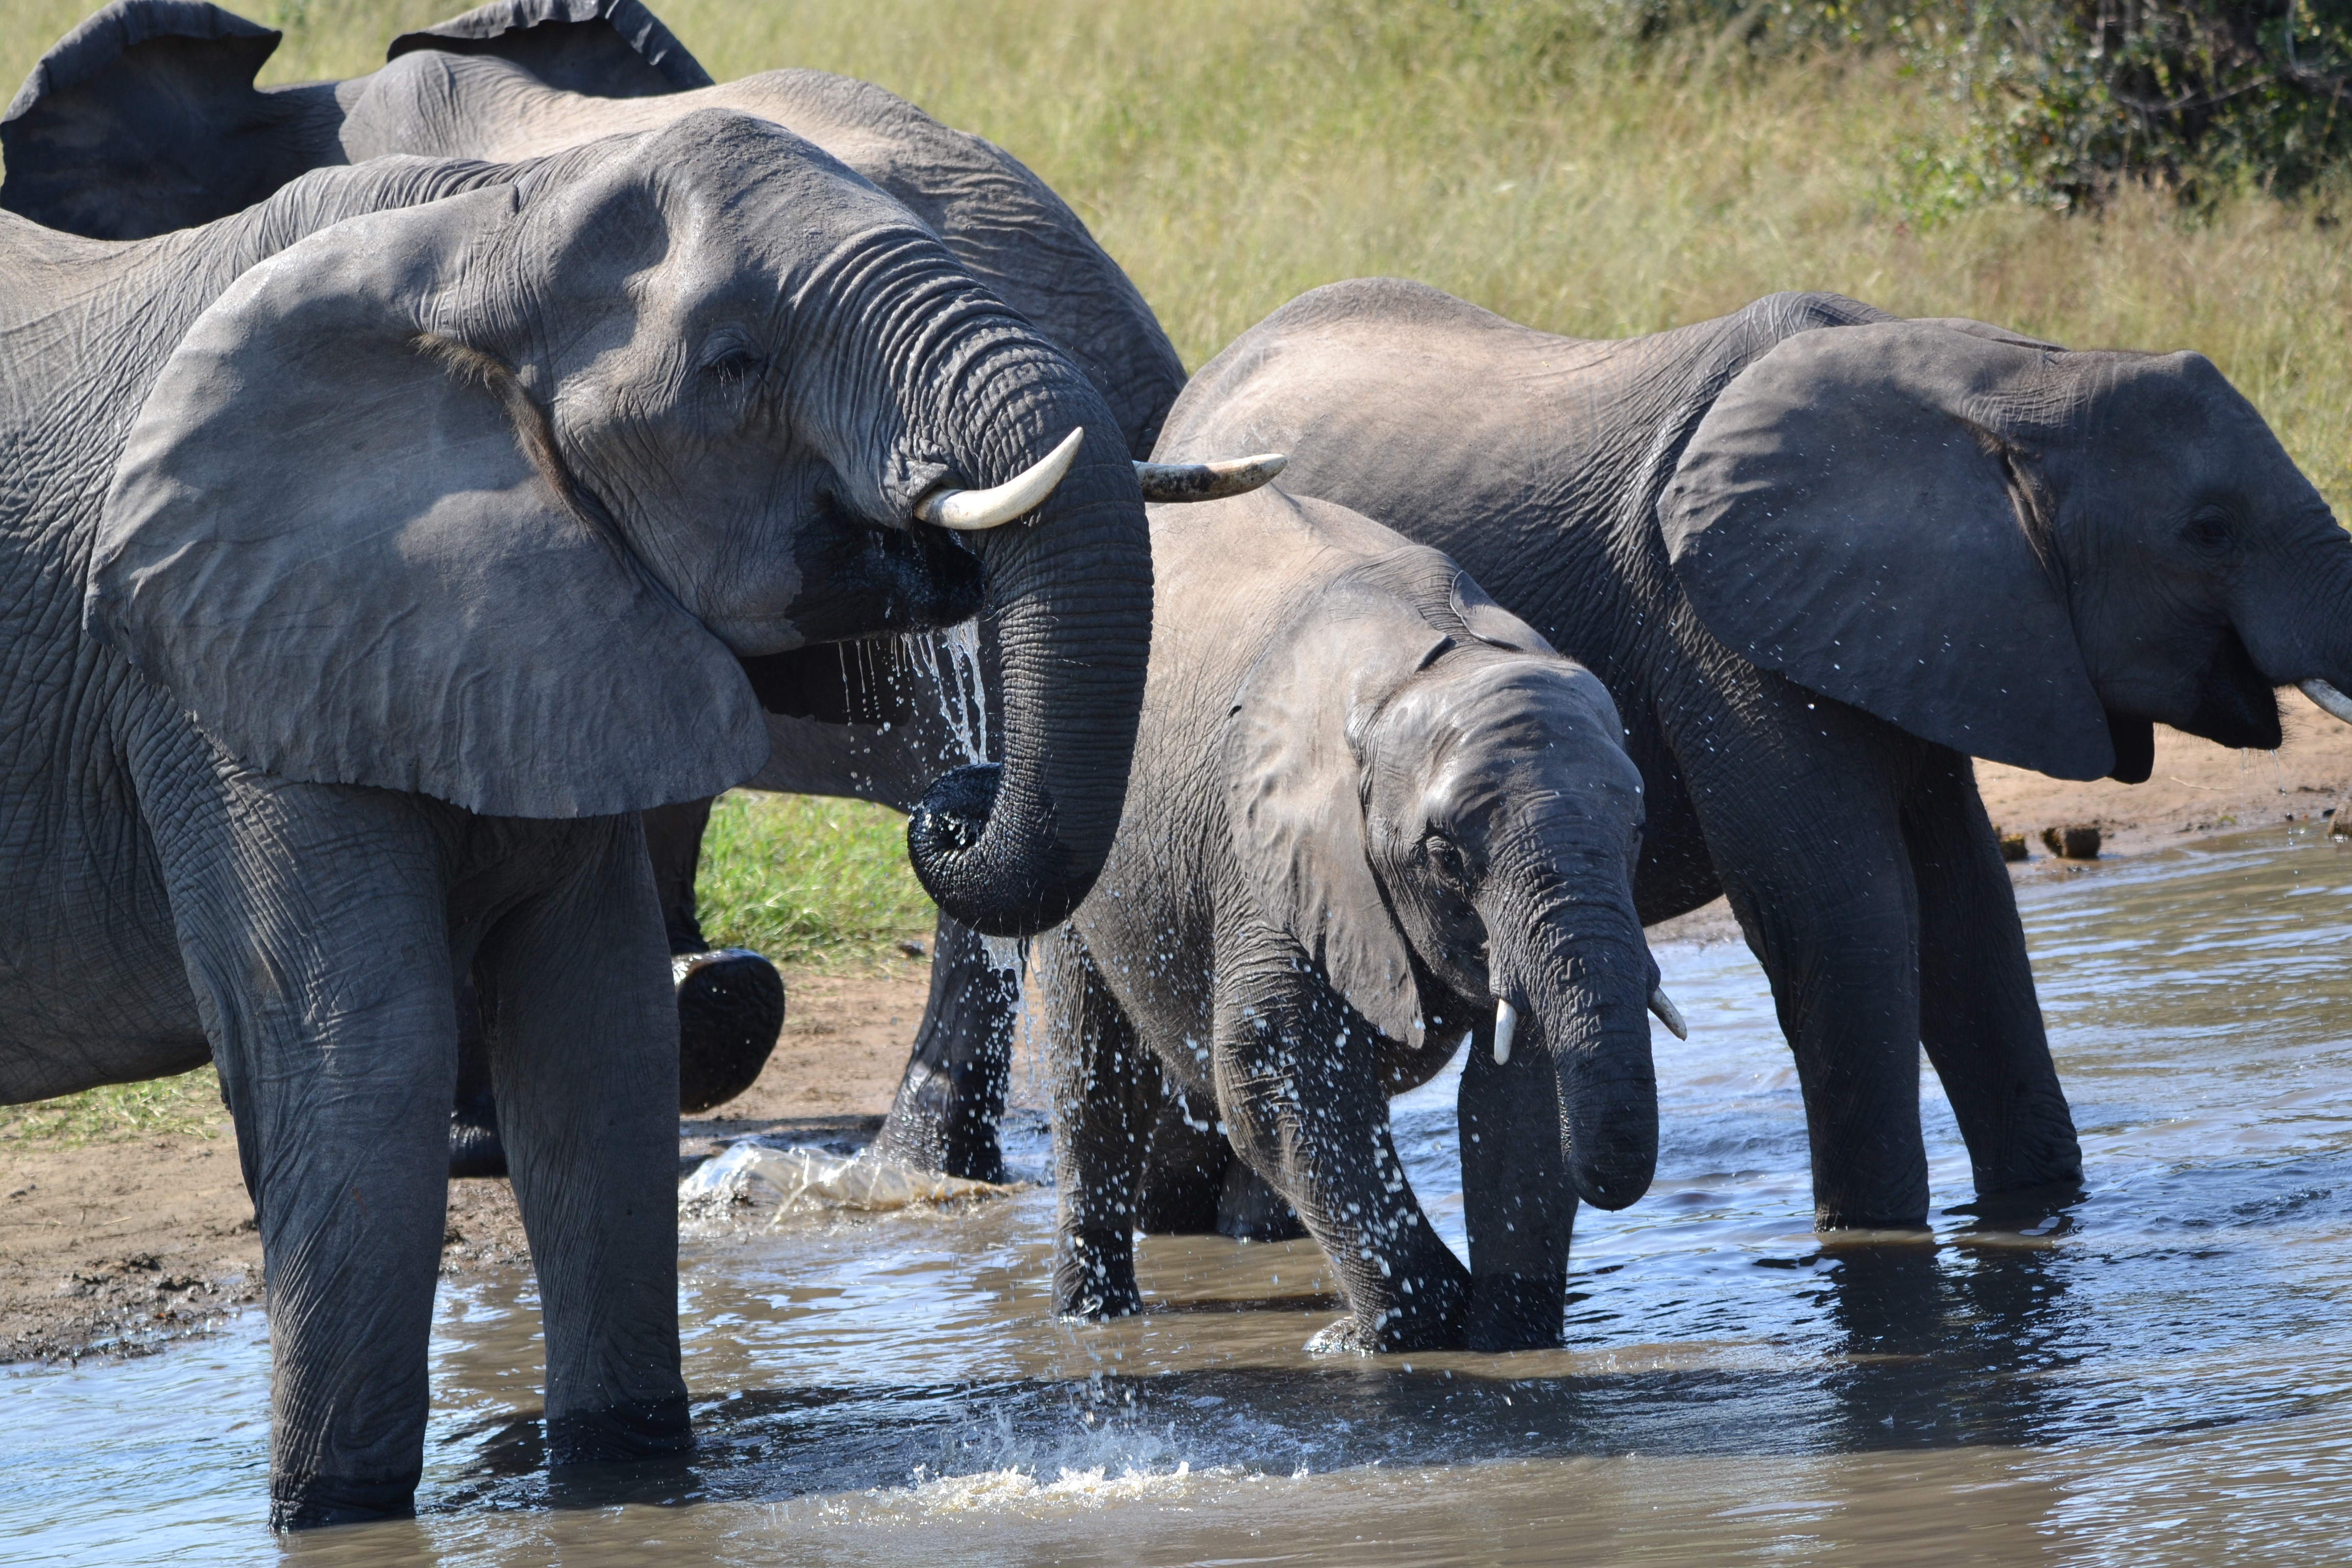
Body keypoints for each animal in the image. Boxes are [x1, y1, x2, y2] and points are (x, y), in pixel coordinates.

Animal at [0, 110, 1166, 1524]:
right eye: (733, 365)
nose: (954, 801)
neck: (475, 229)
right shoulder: (212, 668)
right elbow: (360, 1058)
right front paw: (333, 1516)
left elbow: (598, 1040)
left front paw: (627, 1472)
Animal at [1044, 484, 1680, 1352]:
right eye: (1445, 855)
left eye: (1639, 829)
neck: (1430, 666)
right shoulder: (1270, 854)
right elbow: (1277, 1070)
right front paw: (1385, 1335)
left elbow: (1519, 1092)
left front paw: (1506, 1345)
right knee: (1093, 1074)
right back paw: (1090, 1322)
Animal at [1148, 279, 2352, 1232]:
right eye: (2209, 528)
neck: (2000, 378)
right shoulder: (1718, 629)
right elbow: (1843, 918)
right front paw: (1874, 1245)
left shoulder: (1934, 630)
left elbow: (1969, 918)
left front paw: (2037, 1212)